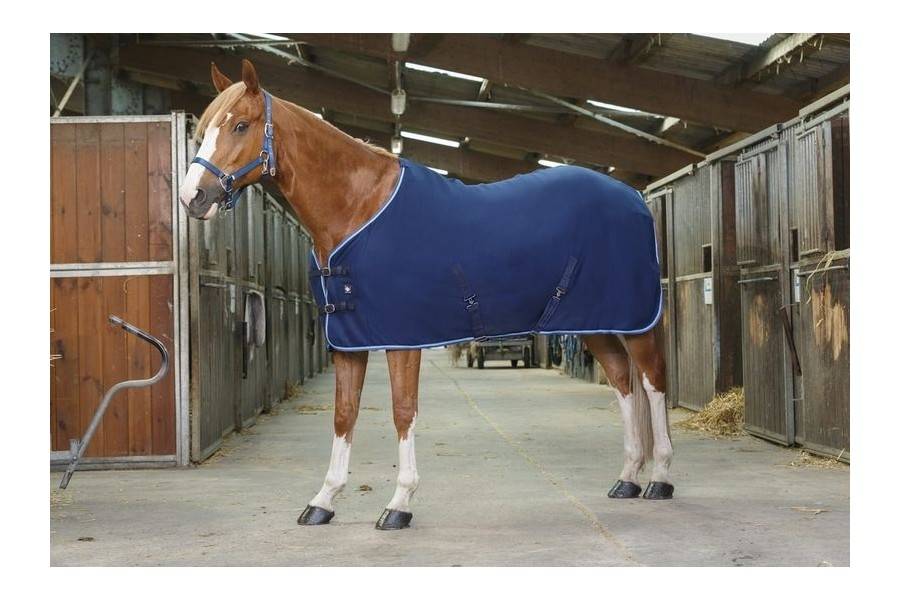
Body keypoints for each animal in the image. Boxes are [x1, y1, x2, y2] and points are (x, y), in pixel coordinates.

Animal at [178, 59, 674, 531]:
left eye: (241, 125)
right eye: (204, 131)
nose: (192, 197)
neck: (358, 207)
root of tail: (634, 196)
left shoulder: (402, 338)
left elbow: (402, 412)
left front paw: (399, 505)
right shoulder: (349, 341)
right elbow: (343, 414)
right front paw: (323, 501)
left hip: (634, 318)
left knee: (652, 382)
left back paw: (660, 479)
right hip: (595, 321)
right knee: (622, 381)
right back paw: (627, 479)